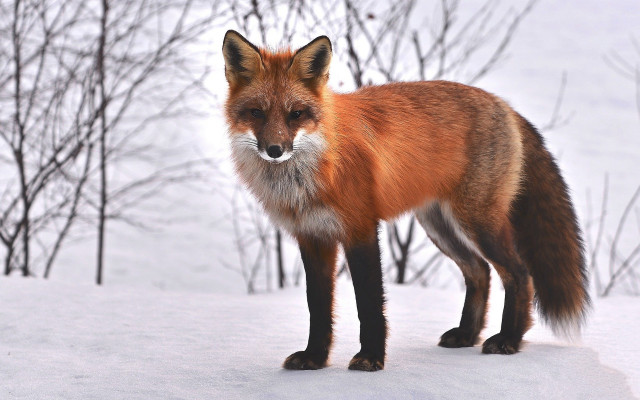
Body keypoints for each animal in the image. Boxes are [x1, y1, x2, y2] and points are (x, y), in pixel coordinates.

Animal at [222, 30, 590, 371]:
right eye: (256, 112)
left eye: (296, 114)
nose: (275, 150)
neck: (314, 170)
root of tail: (504, 105)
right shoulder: (313, 237)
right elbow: (318, 307)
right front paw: (315, 358)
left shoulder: (360, 229)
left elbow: (369, 304)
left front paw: (370, 358)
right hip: (439, 226)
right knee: (479, 272)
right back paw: (467, 335)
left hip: (477, 222)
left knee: (519, 274)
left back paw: (509, 339)